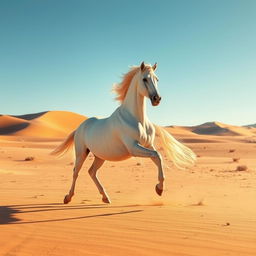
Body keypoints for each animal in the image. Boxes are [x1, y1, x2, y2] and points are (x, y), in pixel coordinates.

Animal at [51, 62, 196, 204]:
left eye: (157, 79)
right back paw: (68, 197)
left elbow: (158, 157)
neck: (136, 118)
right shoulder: (133, 148)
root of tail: (80, 127)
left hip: (100, 156)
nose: (157, 99)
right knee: (76, 172)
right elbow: (157, 155)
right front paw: (159, 189)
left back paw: (105, 197)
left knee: (92, 172)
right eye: (144, 79)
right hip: (81, 153)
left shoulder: (148, 146)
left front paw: (159, 188)